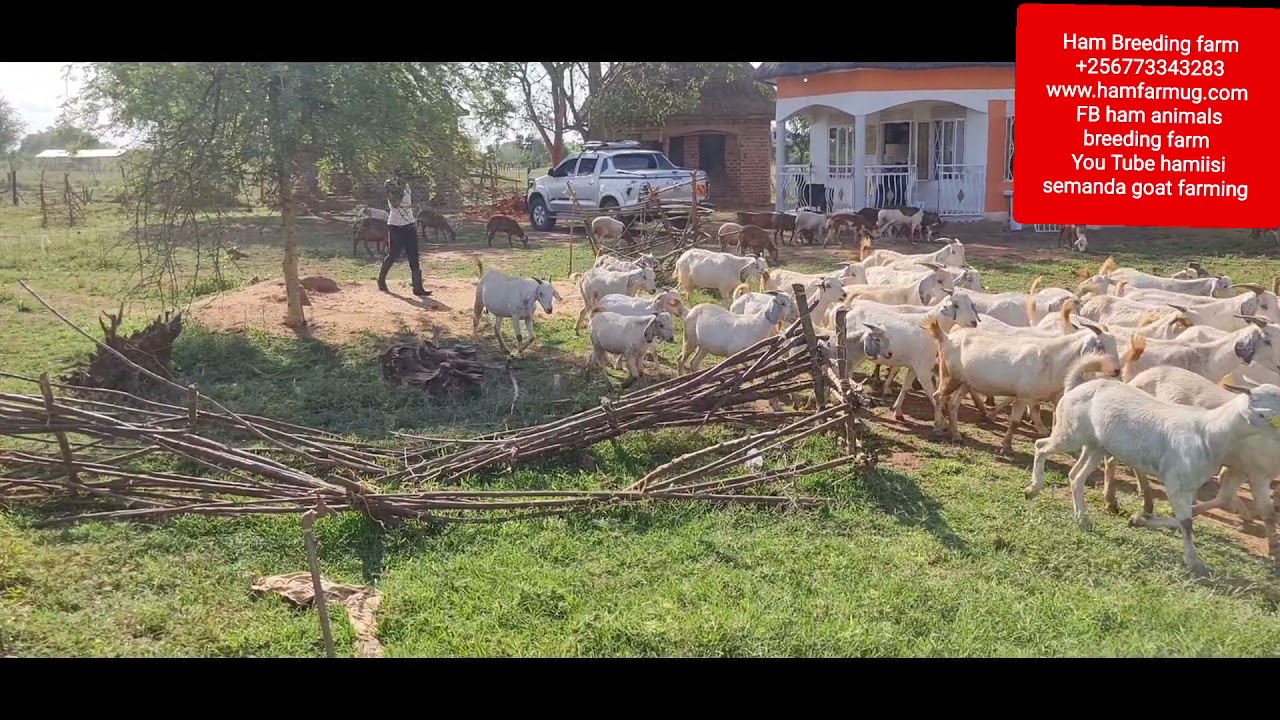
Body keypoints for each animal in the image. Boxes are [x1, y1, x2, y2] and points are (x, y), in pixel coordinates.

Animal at [1027, 356, 1280, 577]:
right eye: (1266, 415)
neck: (1207, 431)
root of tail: (1076, 385)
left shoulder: (1190, 486)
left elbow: (1188, 517)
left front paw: (1139, 520)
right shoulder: (1176, 483)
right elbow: (1187, 522)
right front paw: (1194, 562)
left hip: (1095, 445)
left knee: (1075, 476)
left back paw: (1083, 519)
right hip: (1069, 433)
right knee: (1041, 446)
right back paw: (1033, 489)